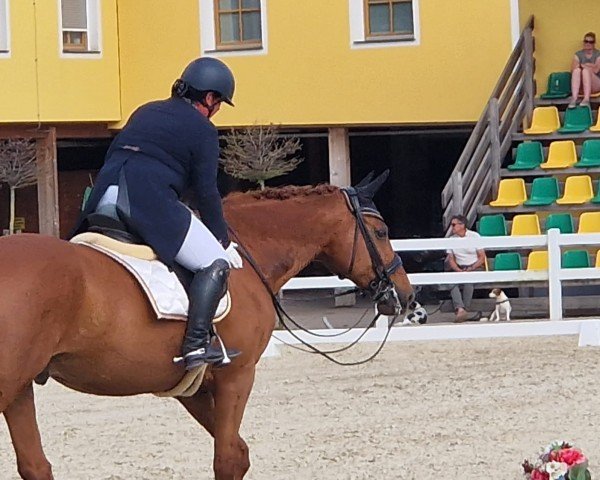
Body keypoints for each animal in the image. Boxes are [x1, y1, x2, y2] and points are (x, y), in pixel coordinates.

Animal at [0, 171, 412, 478]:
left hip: (20, 389)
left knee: (36, 466)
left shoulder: (192, 388)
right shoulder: (237, 375)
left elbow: (238, 452)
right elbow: (228, 458)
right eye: (381, 233)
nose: (404, 296)